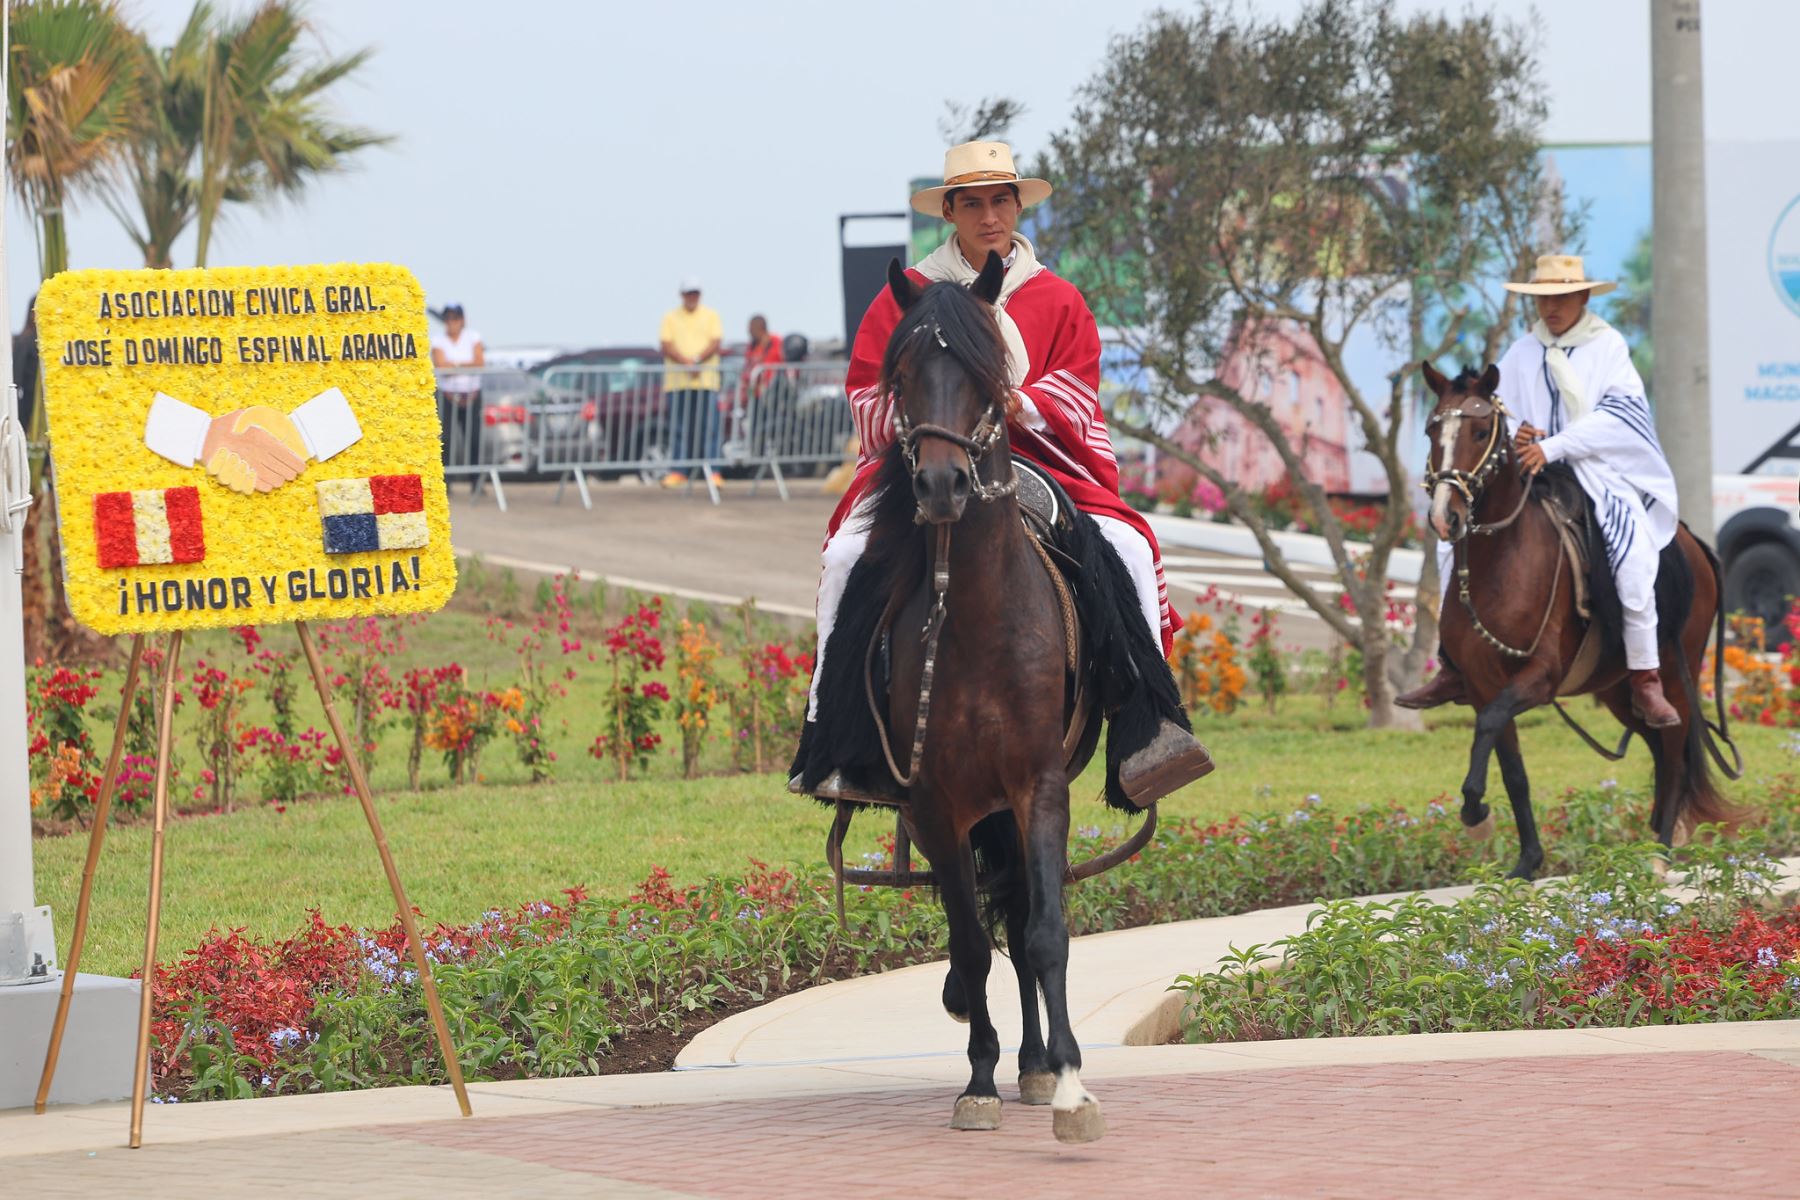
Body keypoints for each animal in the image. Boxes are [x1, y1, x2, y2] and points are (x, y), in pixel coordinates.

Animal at [831, 252, 1109, 1142]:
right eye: (904, 376)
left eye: (991, 378)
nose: (943, 484)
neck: (980, 618)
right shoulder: (935, 800)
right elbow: (970, 943)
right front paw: (980, 1078)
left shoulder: (1039, 786)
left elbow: (1043, 931)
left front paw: (1071, 1085)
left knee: (1020, 916)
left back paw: (1039, 1063)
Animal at [1419, 361, 1740, 879]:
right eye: (1432, 428)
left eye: (1481, 430)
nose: (1445, 515)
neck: (1499, 565)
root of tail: (1696, 543)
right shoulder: (1484, 684)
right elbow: (1513, 768)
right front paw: (1526, 861)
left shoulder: (1539, 676)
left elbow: (1487, 726)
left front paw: (1475, 814)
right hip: (1616, 688)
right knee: (1656, 743)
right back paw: (1654, 834)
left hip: (1675, 673)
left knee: (1673, 750)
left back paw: (1660, 850)